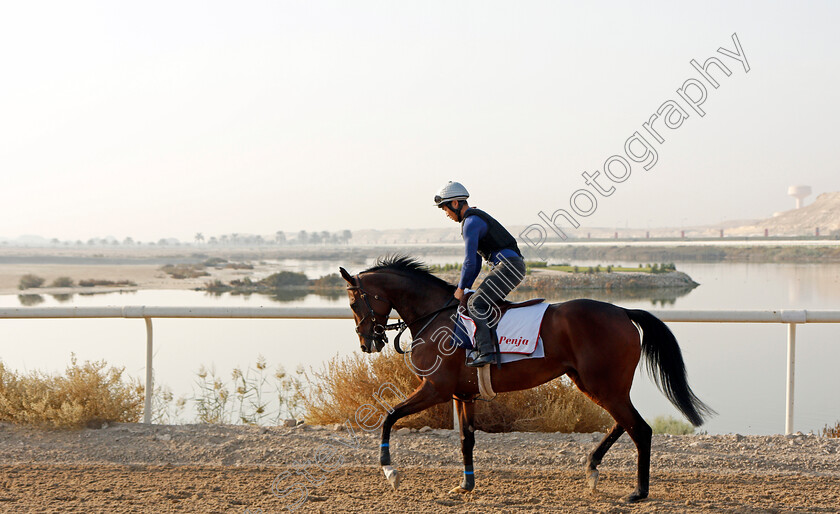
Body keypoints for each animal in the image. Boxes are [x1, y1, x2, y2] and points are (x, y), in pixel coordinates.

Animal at [338, 254, 712, 502]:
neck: (435, 317)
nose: (367, 342)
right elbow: (466, 439)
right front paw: (466, 485)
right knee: (625, 423)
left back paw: (638, 492)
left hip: (603, 384)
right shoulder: (462, 394)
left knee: (640, 428)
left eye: (354, 304)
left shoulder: (435, 388)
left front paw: (390, 472)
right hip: (595, 384)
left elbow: (389, 416)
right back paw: (593, 468)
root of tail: (622, 311)